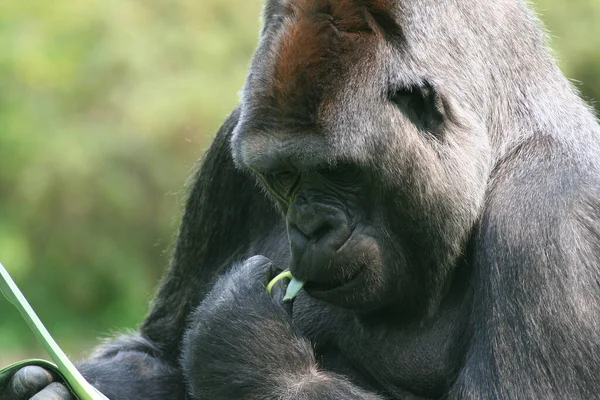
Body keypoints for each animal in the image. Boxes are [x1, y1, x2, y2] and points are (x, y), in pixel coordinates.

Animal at [3, 0, 600, 398]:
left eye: (340, 172)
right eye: (284, 175)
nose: (310, 227)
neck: (504, 137)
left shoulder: (547, 214)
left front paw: (250, 350)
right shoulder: (230, 146)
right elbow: (153, 354)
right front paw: (46, 386)